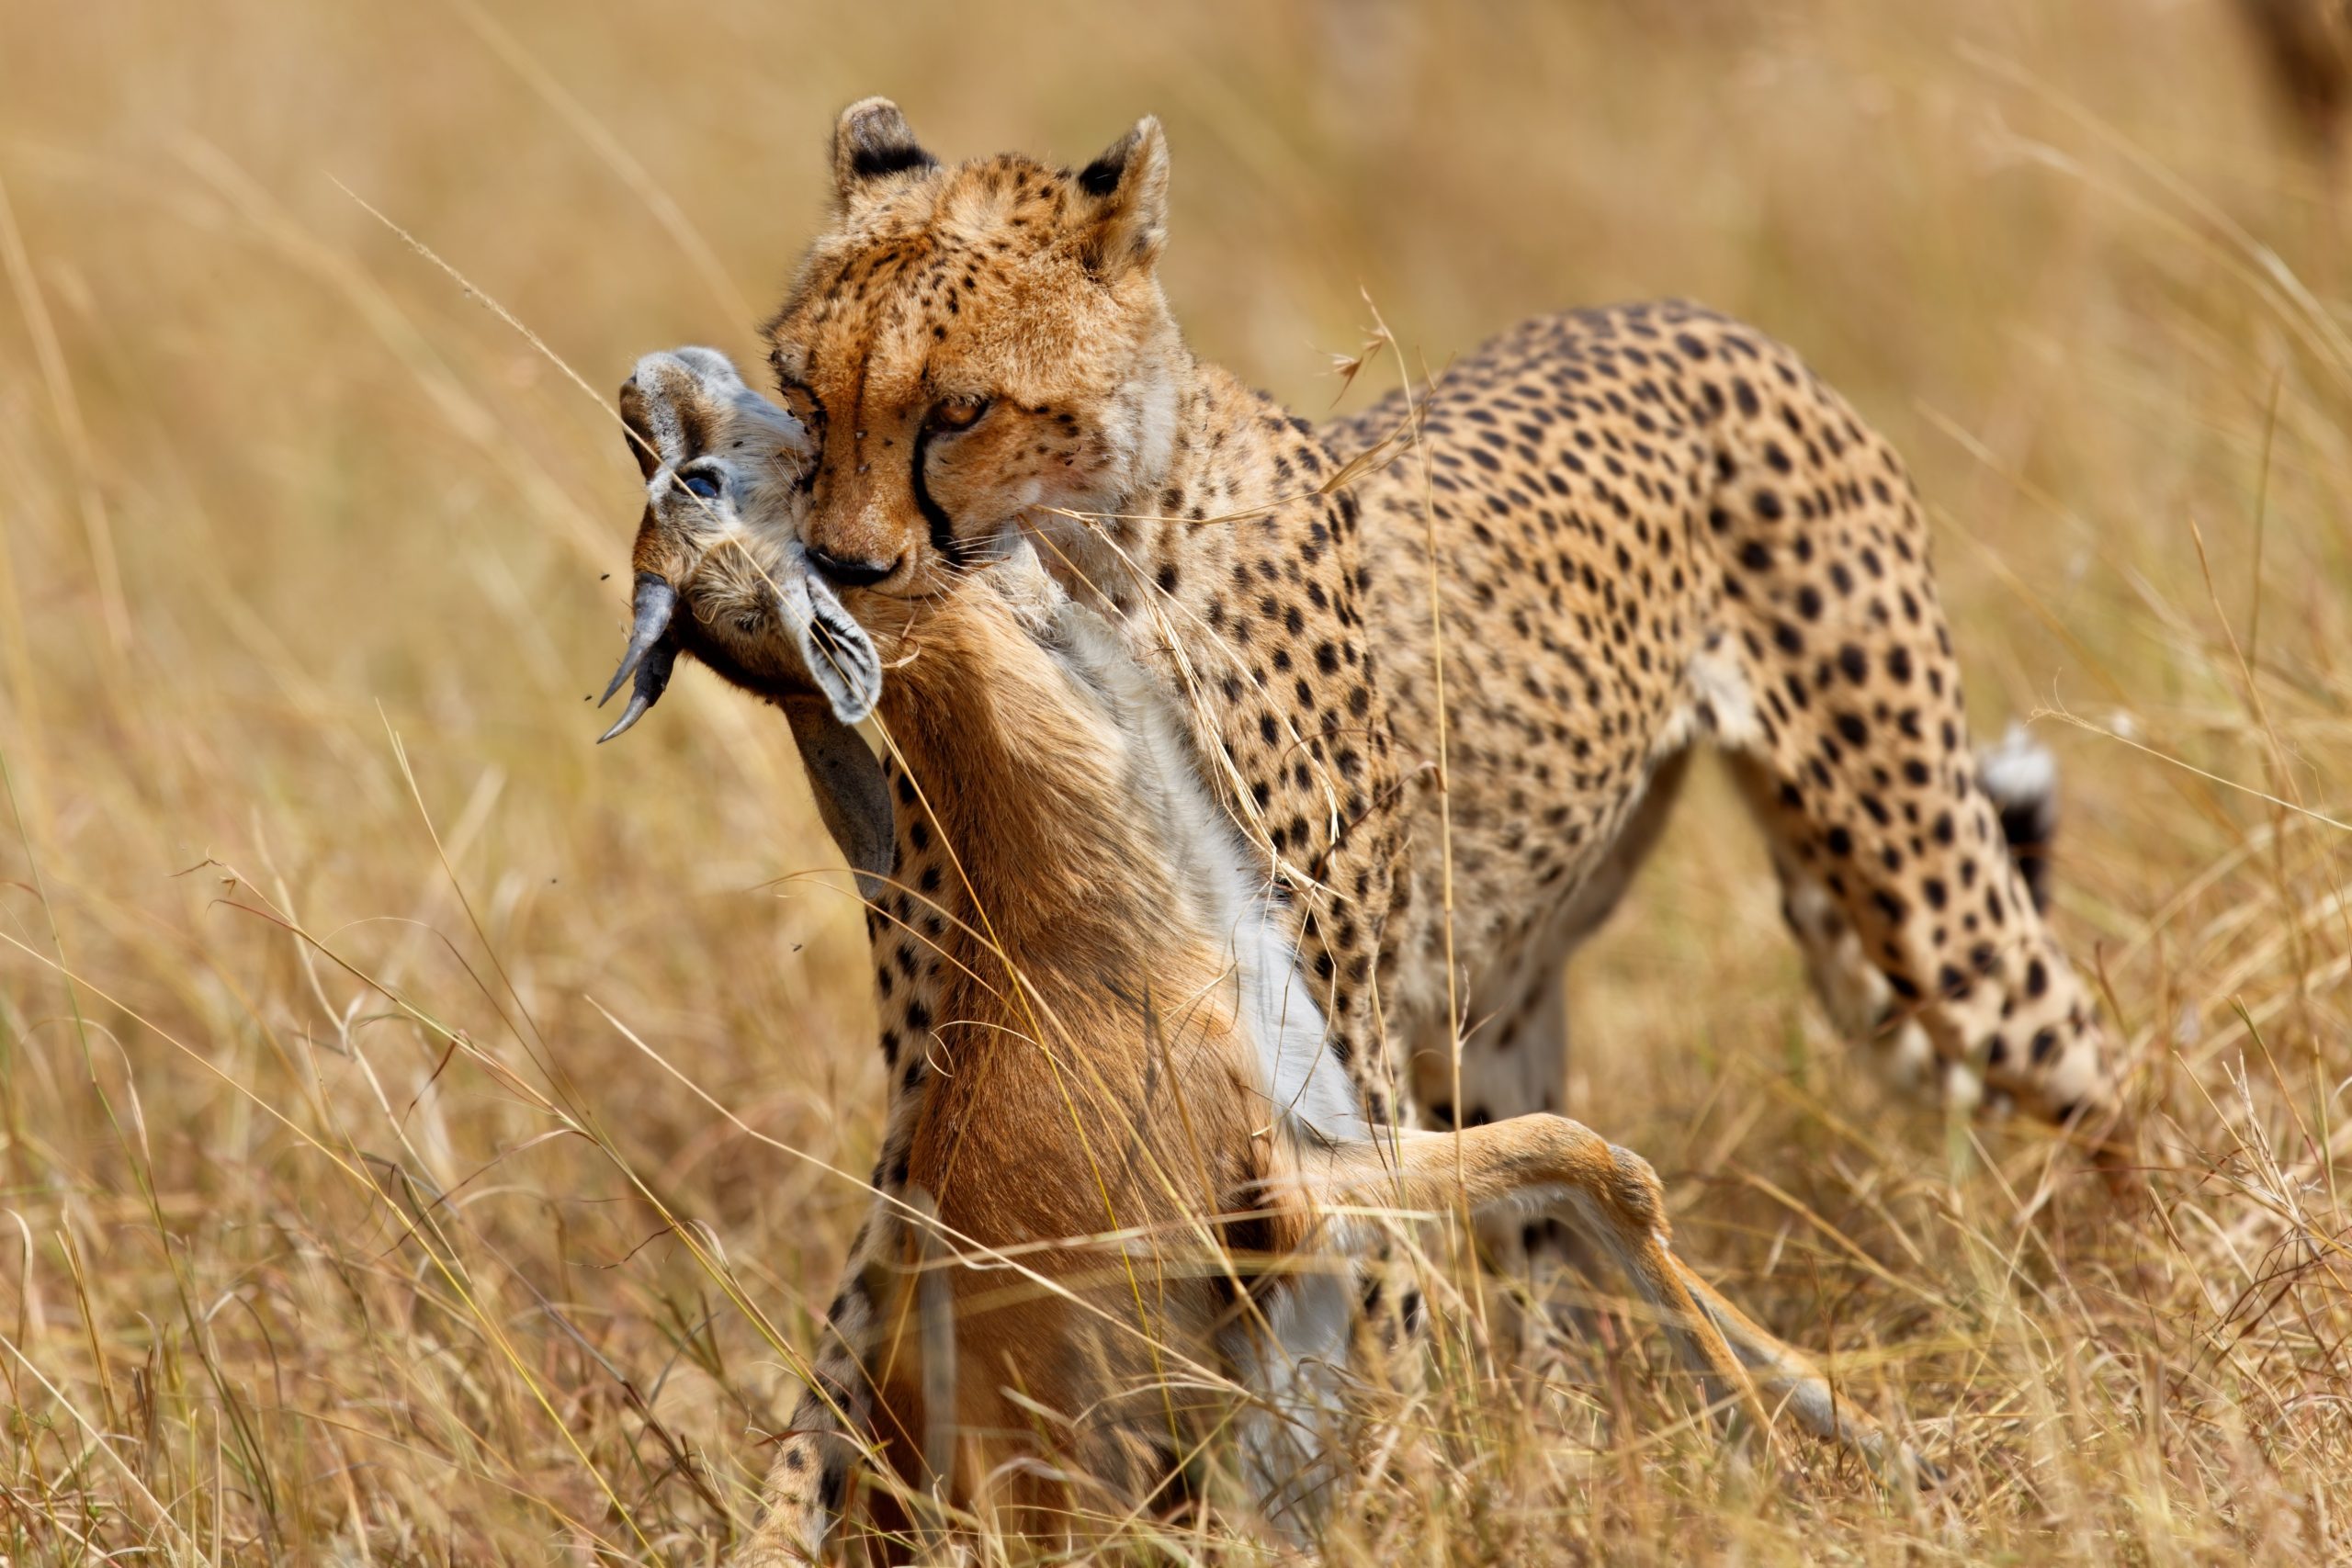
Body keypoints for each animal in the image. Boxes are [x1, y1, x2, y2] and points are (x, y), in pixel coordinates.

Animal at [602, 101, 2117, 1561]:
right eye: (808, 390)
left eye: (959, 407)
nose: (849, 569)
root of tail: (1684, 308)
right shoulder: (964, 1082)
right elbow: (856, 1354)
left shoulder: (1310, 1066)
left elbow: (1376, 1314)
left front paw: (1411, 1501)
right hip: (1494, 1019)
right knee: (1550, 1246)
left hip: (1929, 908)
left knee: (2095, 1065)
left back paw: (2122, 1291)